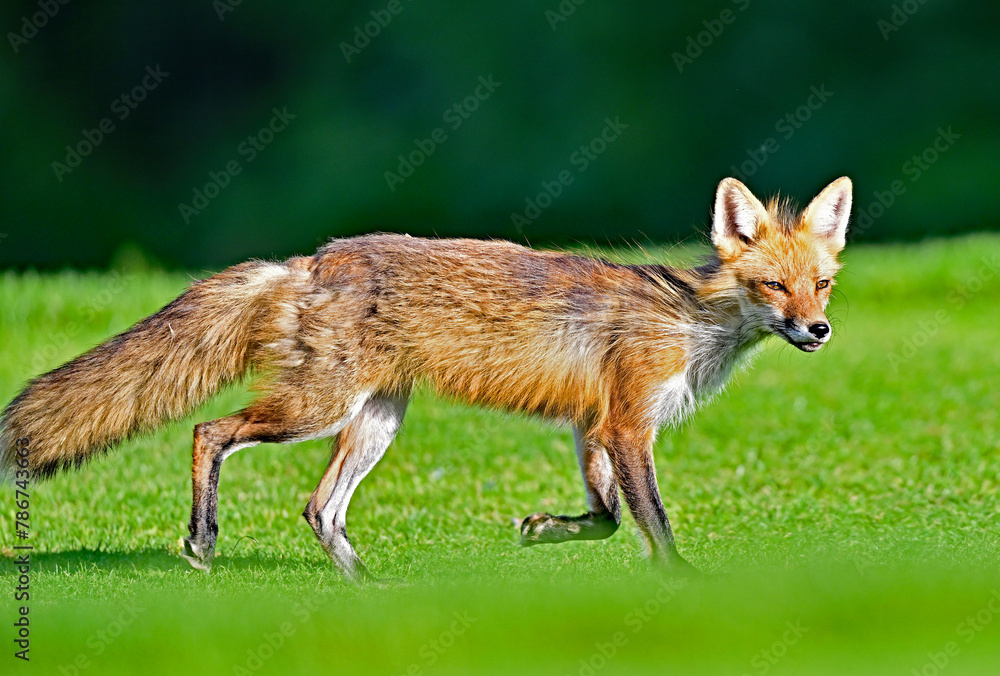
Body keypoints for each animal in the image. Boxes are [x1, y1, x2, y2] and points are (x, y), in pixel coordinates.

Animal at [0, 176, 851, 580]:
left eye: (822, 285)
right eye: (774, 286)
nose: (818, 330)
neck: (692, 322)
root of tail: (307, 260)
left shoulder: (593, 425)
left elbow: (608, 518)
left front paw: (544, 530)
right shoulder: (626, 424)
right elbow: (655, 523)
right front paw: (685, 583)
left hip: (375, 419)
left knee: (319, 508)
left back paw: (368, 587)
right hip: (316, 406)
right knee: (211, 431)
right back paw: (203, 540)